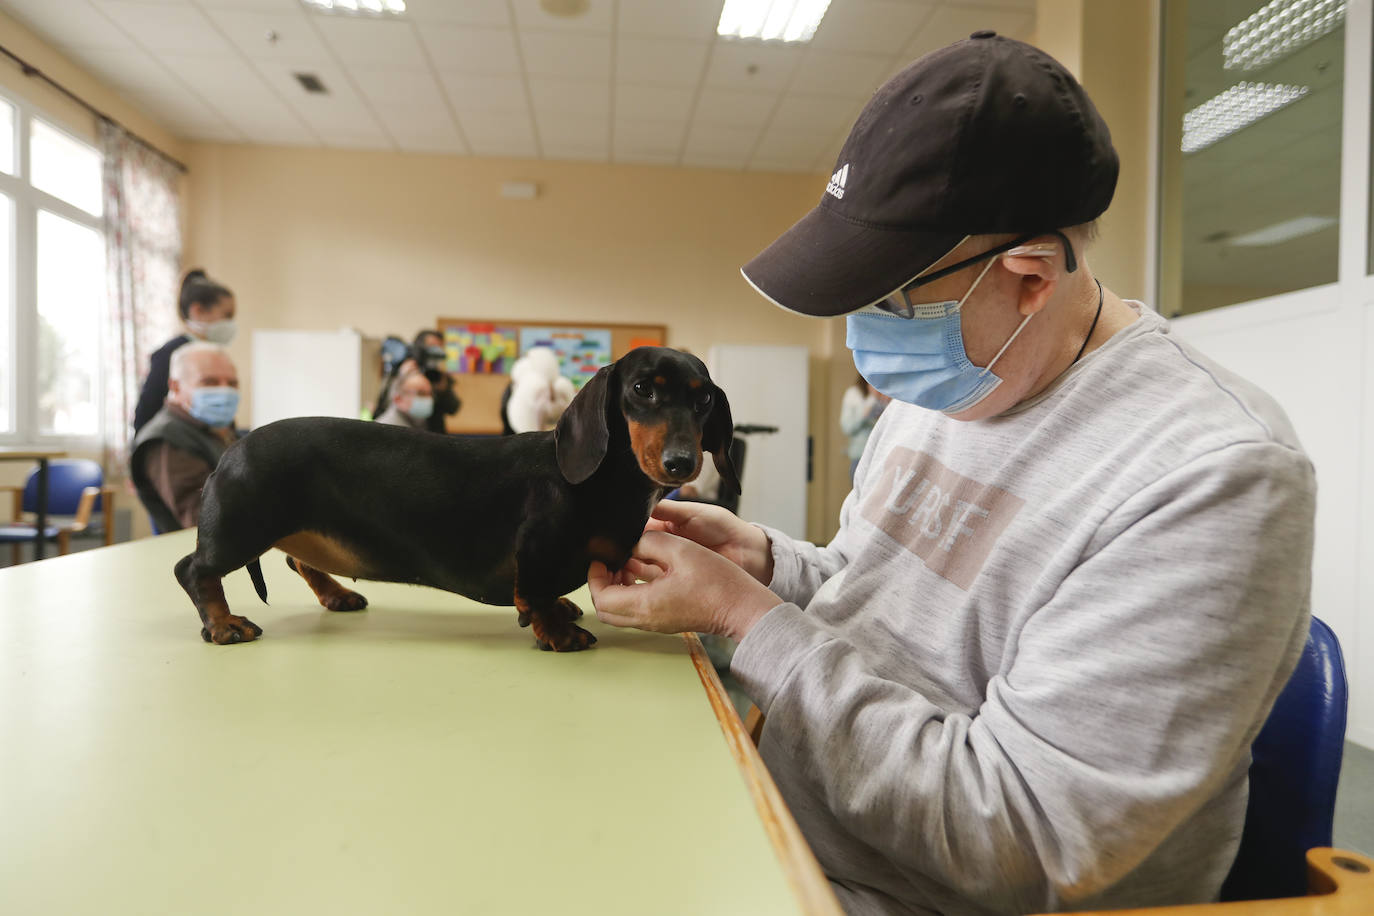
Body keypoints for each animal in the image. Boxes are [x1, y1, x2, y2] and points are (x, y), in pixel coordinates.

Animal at [174, 346, 741, 650]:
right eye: (643, 390)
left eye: (704, 400)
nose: (681, 464)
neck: (607, 481)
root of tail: (233, 448)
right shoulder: (536, 547)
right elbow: (534, 594)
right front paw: (557, 630)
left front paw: (562, 609)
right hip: (241, 529)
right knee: (193, 569)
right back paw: (223, 623)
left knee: (298, 560)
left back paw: (336, 594)